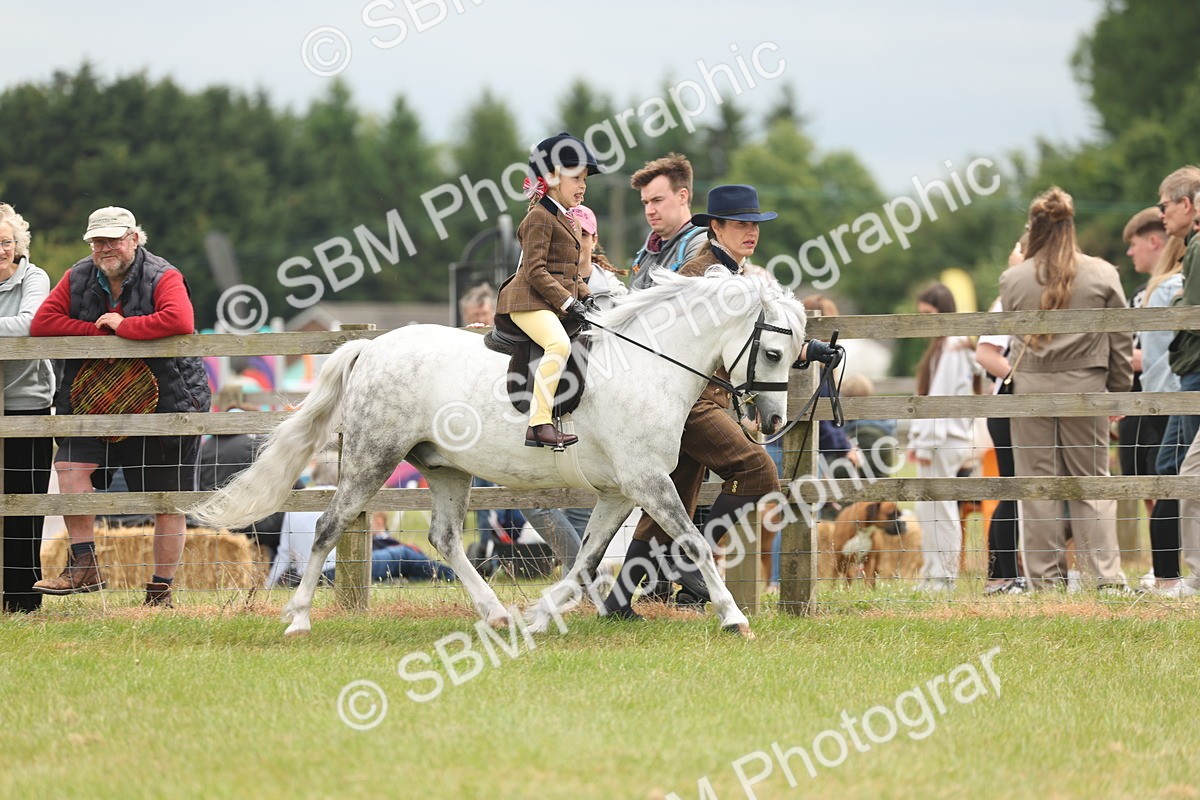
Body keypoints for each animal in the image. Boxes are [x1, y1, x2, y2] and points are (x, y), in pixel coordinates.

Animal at [189, 268, 808, 638]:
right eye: (775, 352)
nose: (774, 423)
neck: (647, 366)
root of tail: (370, 347)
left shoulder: (620, 491)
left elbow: (584, 560)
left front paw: (539, 615)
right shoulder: (648, 483)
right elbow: (694, 543)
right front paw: (733, 617)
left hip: (445, 469)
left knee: (442, 539)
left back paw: (496, 612)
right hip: (373, 457)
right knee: (329, 525)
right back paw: (298, 620)